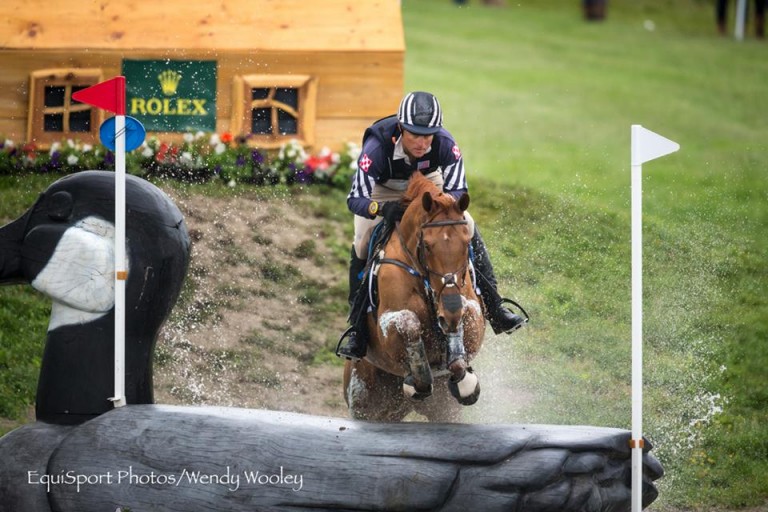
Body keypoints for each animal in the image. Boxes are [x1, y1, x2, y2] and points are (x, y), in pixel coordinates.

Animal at [344, 174, 486, 422]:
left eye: (466, 243)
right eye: (427, 246)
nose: (449, 312)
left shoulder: (471, 309)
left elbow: (464, 319)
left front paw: (465, 382)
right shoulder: (388, 321)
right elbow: (409, 322)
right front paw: (419, 378)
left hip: (443, 411)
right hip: (364, 403)